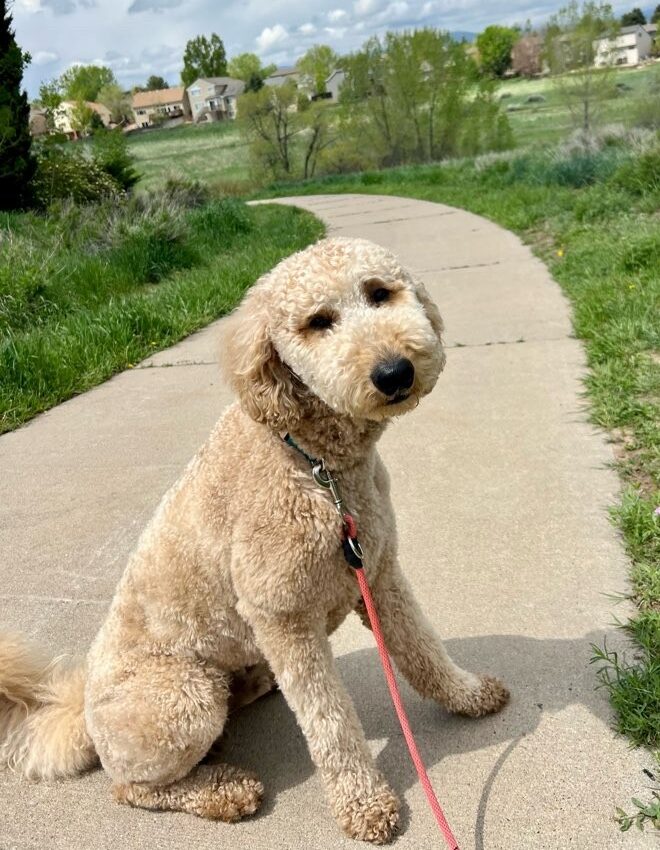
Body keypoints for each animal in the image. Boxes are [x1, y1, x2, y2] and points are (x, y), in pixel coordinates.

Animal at [0, 234, 510, 840]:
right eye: (318, 322)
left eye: (379, 293)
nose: (394, 372)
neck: (314, 464)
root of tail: (80, 712)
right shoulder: (283, 618)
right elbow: (331, 723)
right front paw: (364, 804)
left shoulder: (379, 575)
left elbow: (422, 651)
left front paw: (469, 696)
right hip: (182, 699)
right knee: (133, 788)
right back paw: (223, 791)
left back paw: (252, 689)